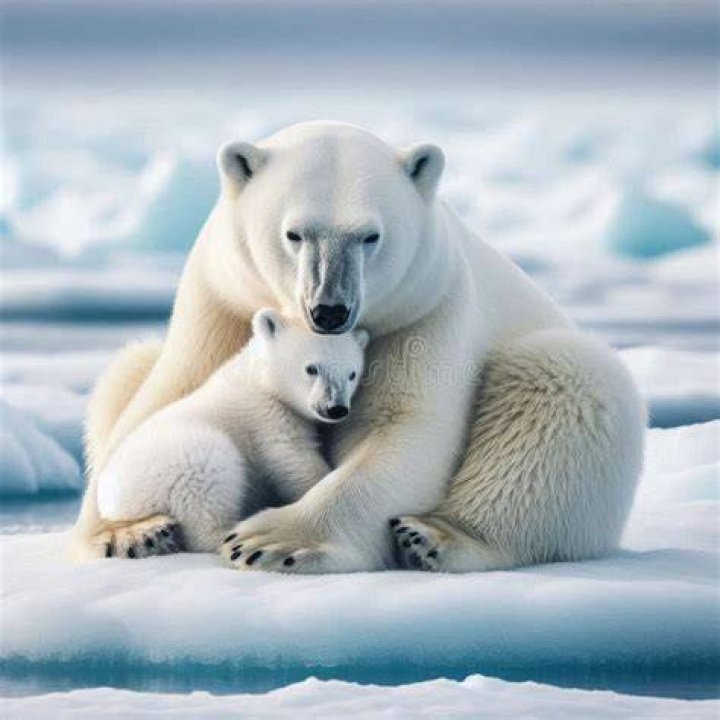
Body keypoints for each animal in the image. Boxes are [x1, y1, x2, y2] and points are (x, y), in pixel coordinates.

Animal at [92, 308, 368, 558]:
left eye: (352, 373)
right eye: (311, 368)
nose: (336, 409)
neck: (254, 374)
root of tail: (112, 501)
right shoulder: (264, 414)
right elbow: (292, 458)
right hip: (178, 461)